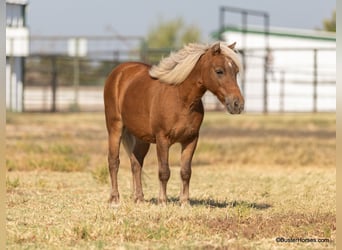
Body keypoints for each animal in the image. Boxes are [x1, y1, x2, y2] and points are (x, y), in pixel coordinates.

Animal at [103, 41, 244, 205]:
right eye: (219, 71)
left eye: (236, 71)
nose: (237, 104)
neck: (181, 98)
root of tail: (119, 72)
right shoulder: (162, 140)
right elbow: (164, 171)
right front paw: (163, 201)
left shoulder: (191, 140)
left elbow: (186, 172)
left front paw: (185, 202)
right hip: (115, 128)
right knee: (114, 162)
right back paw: (114, 199)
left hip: (141, 137)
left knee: (136, 163)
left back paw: (139, 199)